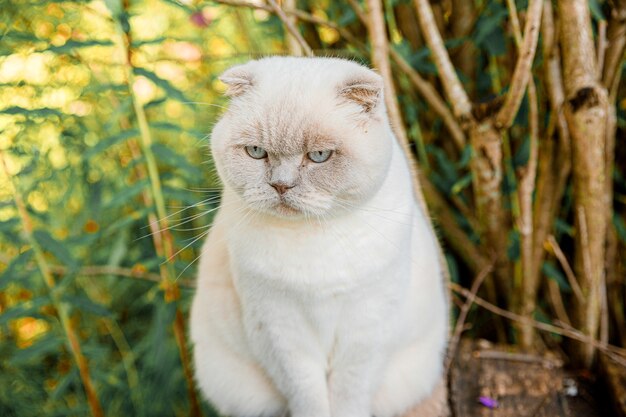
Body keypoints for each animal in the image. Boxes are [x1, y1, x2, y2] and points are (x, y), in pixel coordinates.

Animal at [188, 56, 446, 416]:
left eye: (319, 156)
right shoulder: (279, 330)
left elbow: (349, 397)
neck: (313, 238)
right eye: (256, 152)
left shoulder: (366, 329)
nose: (280, 186)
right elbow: (308, 397)